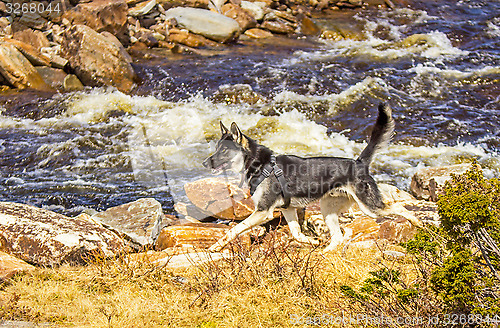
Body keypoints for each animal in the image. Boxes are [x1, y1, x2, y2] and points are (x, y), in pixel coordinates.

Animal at [203, 102, 414, 251]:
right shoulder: (287, 209)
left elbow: (234, 229)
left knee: (399, 207)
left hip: (369, 207)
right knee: (338, 237)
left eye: (223, 151)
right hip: (328, 209)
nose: (205, 163)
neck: (259, 164)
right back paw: (324, 253)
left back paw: (417, 223)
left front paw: (216, 246)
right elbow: (297, 233)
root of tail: (359, 162)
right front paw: (311, 241)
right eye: (216, 149)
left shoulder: (263, 212)